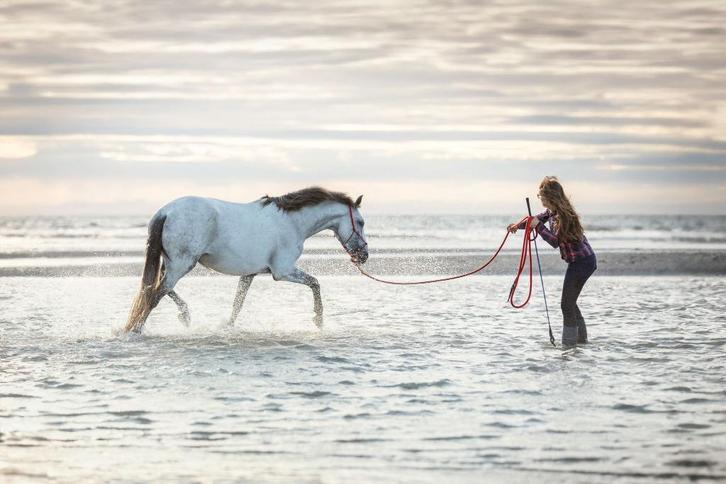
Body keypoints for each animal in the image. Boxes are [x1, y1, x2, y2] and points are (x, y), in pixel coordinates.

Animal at [123, 187, 368, 333]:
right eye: (361, 222)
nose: (363, 255)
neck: (292, 222)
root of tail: (165, 211)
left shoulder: (250, 273)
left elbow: (237, 304)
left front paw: (227, 328)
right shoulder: (283, 271)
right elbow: (316, 283)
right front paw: (318, 320)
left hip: (174, 265)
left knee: (156, 288)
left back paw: (184, 316)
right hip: (182, 265)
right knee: (155, 294)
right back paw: (137, 329)